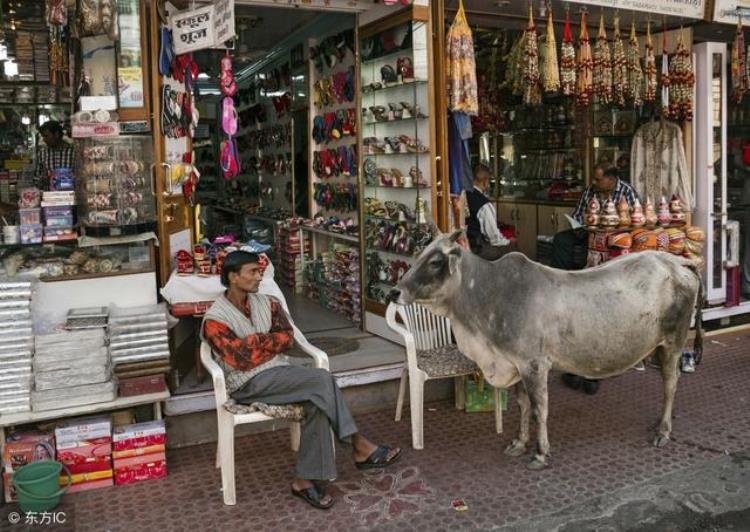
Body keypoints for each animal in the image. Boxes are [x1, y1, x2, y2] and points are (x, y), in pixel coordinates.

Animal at [390, 229, 708, 470]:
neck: (489, 295)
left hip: (674, 342)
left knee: (670, 383)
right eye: (418, 255)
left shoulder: (534, 365)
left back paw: (662, 431)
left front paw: (541, 453)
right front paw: (519, 443)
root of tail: (676, 261)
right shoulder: (515, 364)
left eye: (435, 261)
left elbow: (539, 408)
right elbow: (522, 405)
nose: (395, 291)